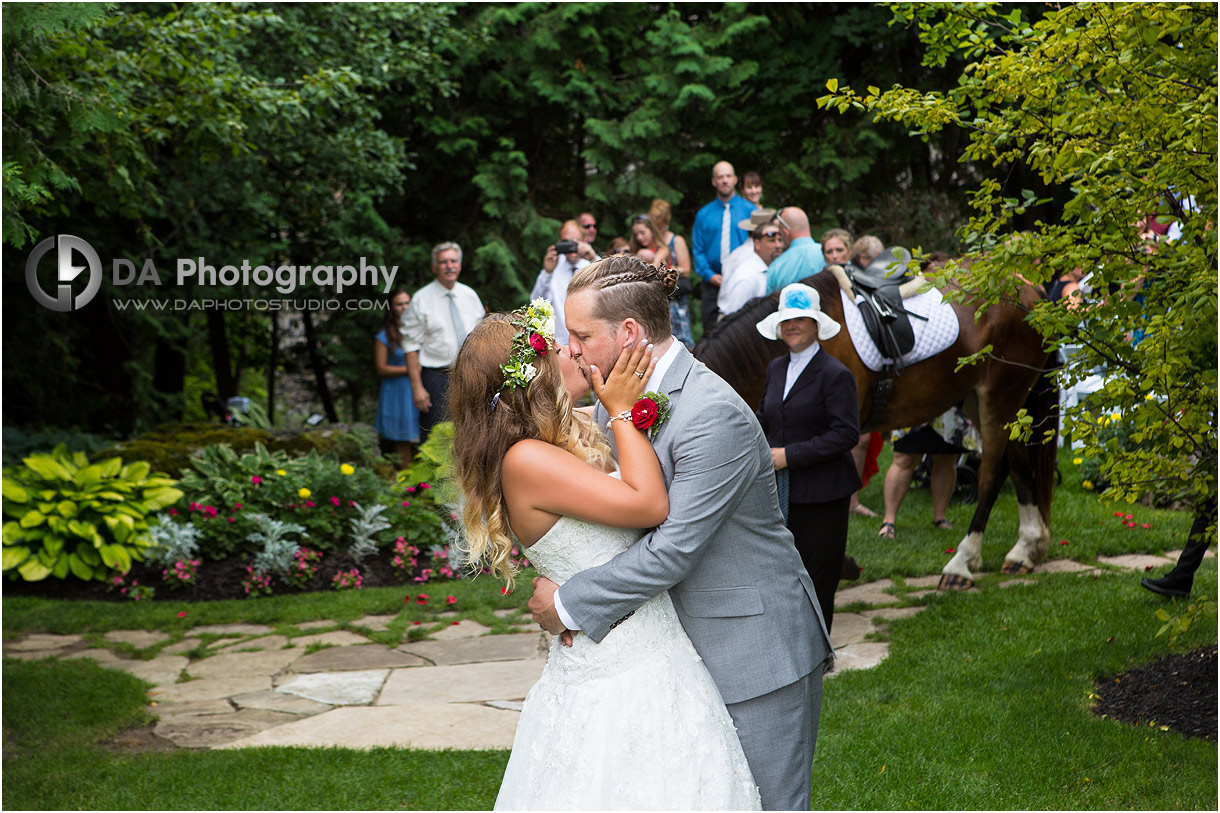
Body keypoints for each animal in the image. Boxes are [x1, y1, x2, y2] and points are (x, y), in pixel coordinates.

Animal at [697, 268, 1058, 585]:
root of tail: (1031, 291)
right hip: (986, 402)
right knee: (1019, 467)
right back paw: (1025, 550)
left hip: (999, 398)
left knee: (991, 476)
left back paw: (961, 564)